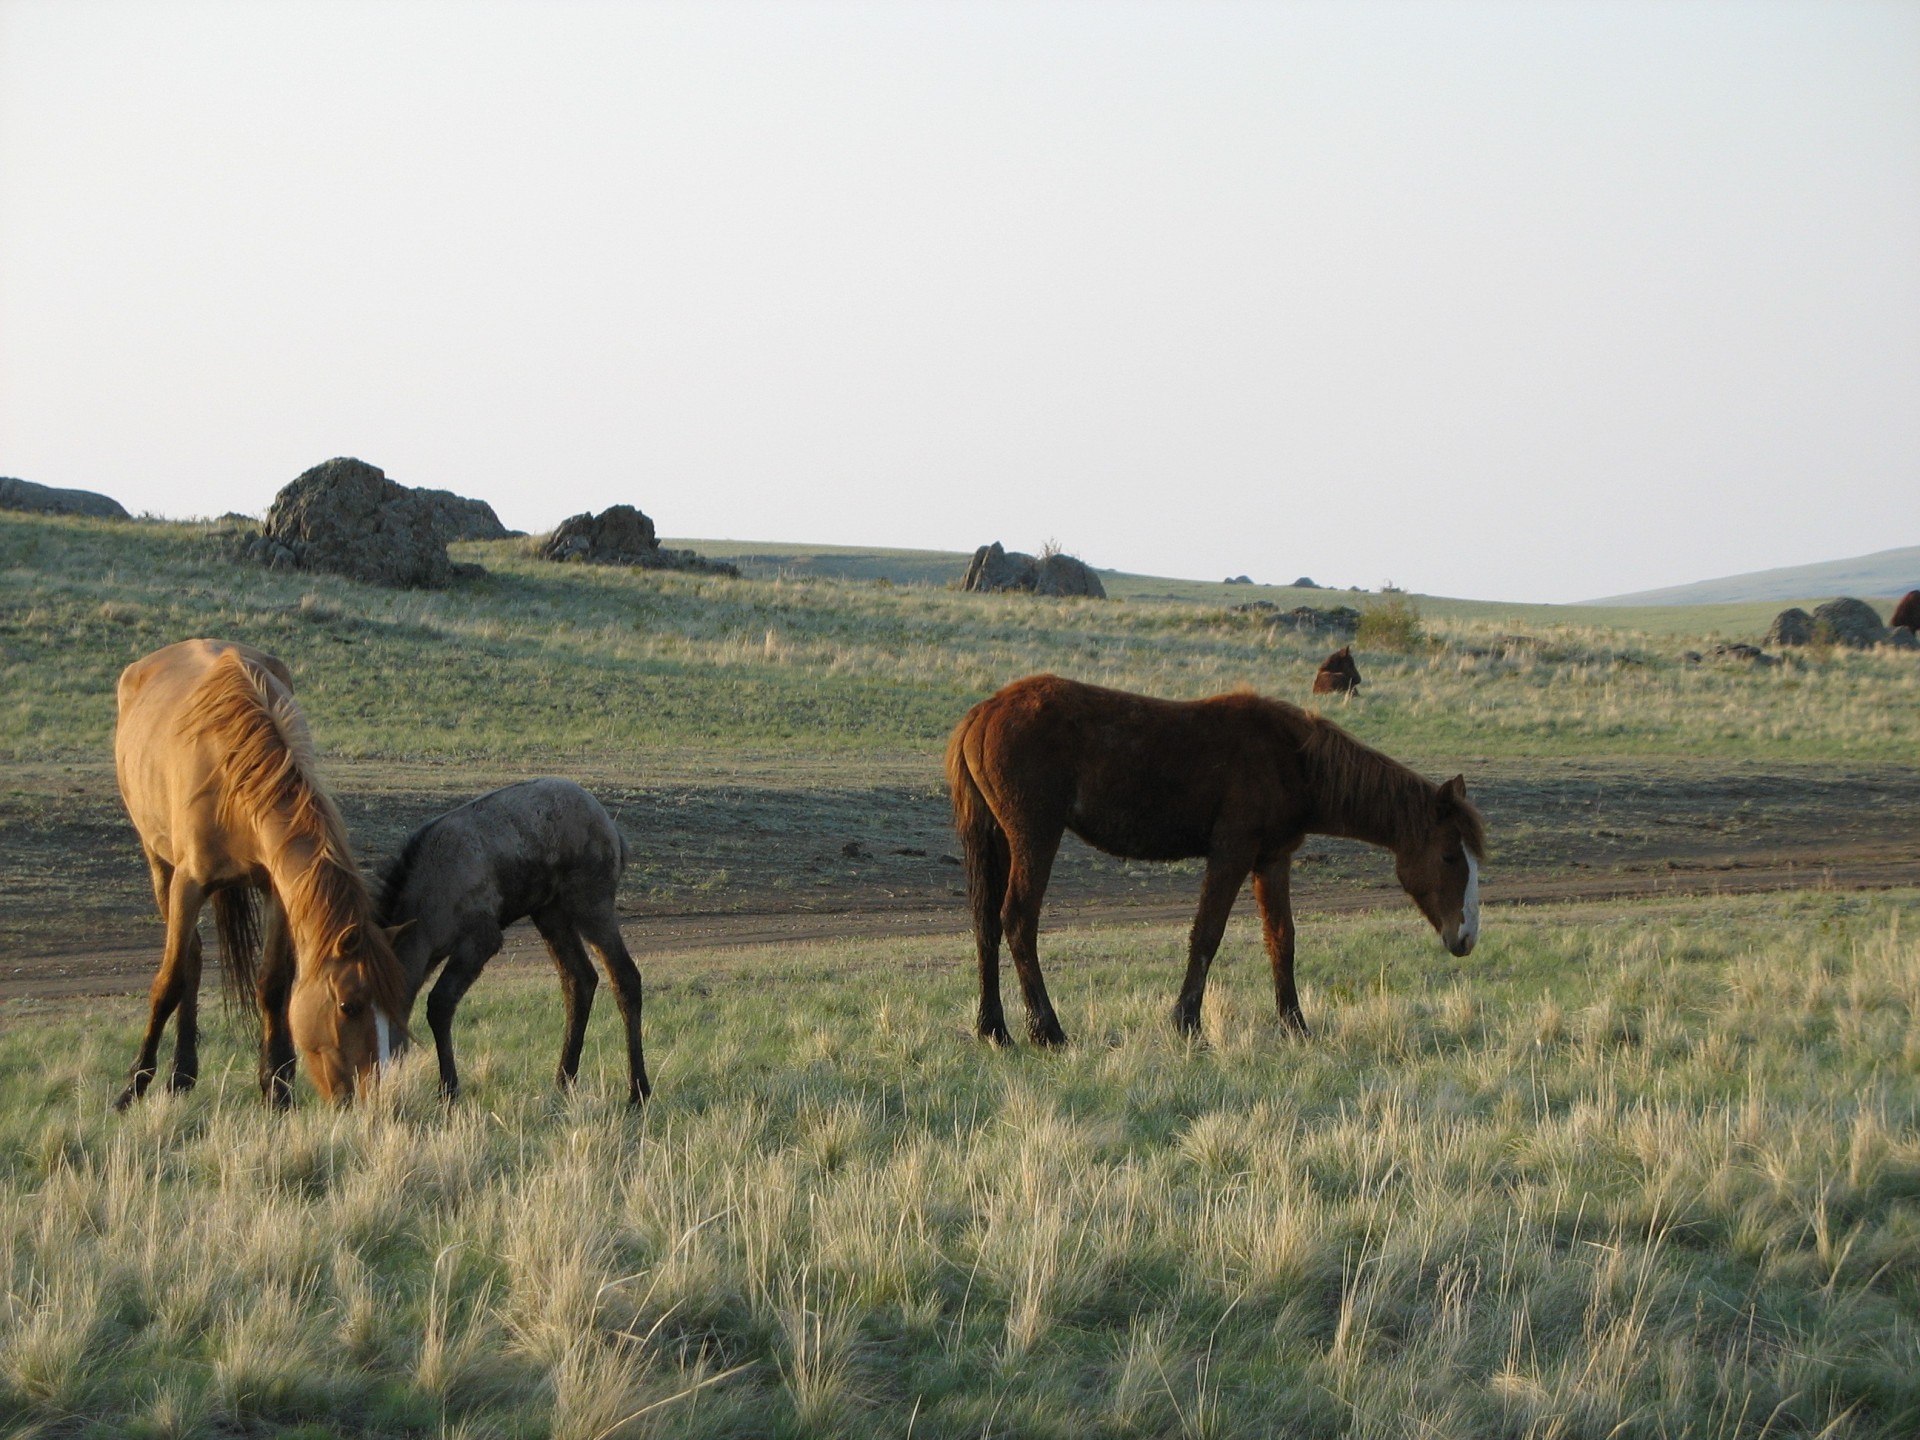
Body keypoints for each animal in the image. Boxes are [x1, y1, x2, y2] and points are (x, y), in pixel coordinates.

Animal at [113, 639, 410, 1108]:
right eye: (349, 1005)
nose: (368, 1095)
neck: (234, 776)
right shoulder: (188, 884)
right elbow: (169, 981)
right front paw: (134, 1085)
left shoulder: (278, 890)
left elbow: (273, 984)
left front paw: (277, 1086)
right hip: (159, 863)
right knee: (190, 960)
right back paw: (177, 1074)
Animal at [375, 778, 650, 1104]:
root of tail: (613, 830)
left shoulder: (482, 938)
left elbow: (439, 1004)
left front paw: (449, 1089)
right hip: (549, 912)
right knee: (579, 978)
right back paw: (564, 1081)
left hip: (590, 903)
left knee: (624, 976)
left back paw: (638, 1091)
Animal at [946, 674, 1485, 1045]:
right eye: (1449, 856)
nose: (1465, 938)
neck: (1293, 759)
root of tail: (983, 713)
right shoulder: (1232, 853)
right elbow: (1207, 934)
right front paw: (1187, 1023)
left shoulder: (1272, 861)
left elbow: (1282, 940)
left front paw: (1295, 1026)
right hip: (1035, 837)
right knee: (1018, 920)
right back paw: (1047, 1030)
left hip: (997, 837)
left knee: (986, 926)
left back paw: (994, 1030)